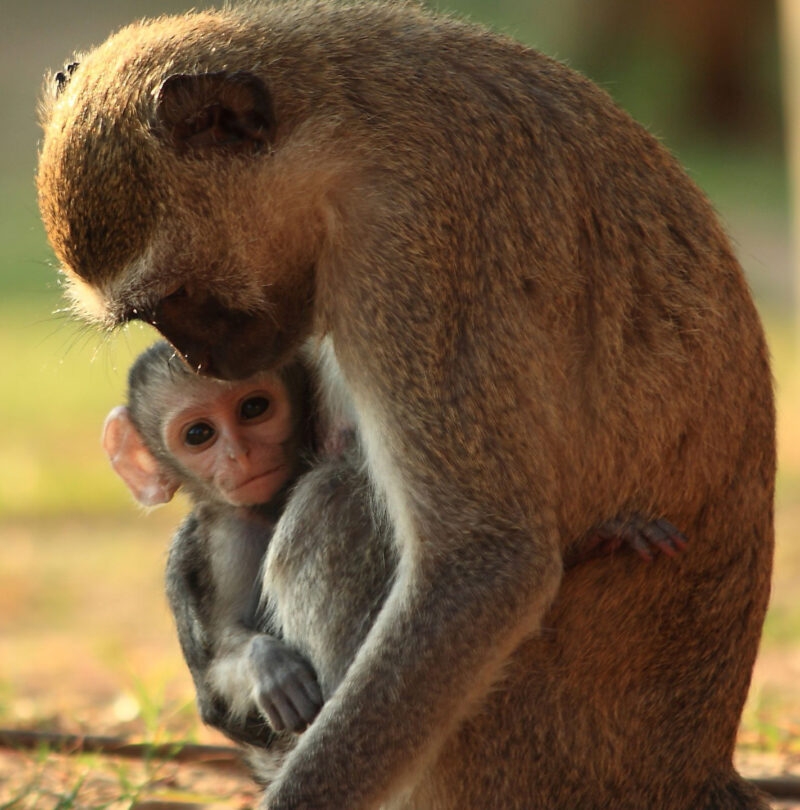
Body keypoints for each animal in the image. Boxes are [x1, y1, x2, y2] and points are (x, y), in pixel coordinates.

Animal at [38, 4, 775, 809]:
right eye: (150, 314)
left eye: (178, 295)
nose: (205, 360)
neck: (351, 134)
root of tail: (697, 767)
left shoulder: (410, 254)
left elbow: (486, 562)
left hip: (516, 747)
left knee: (331, 506)